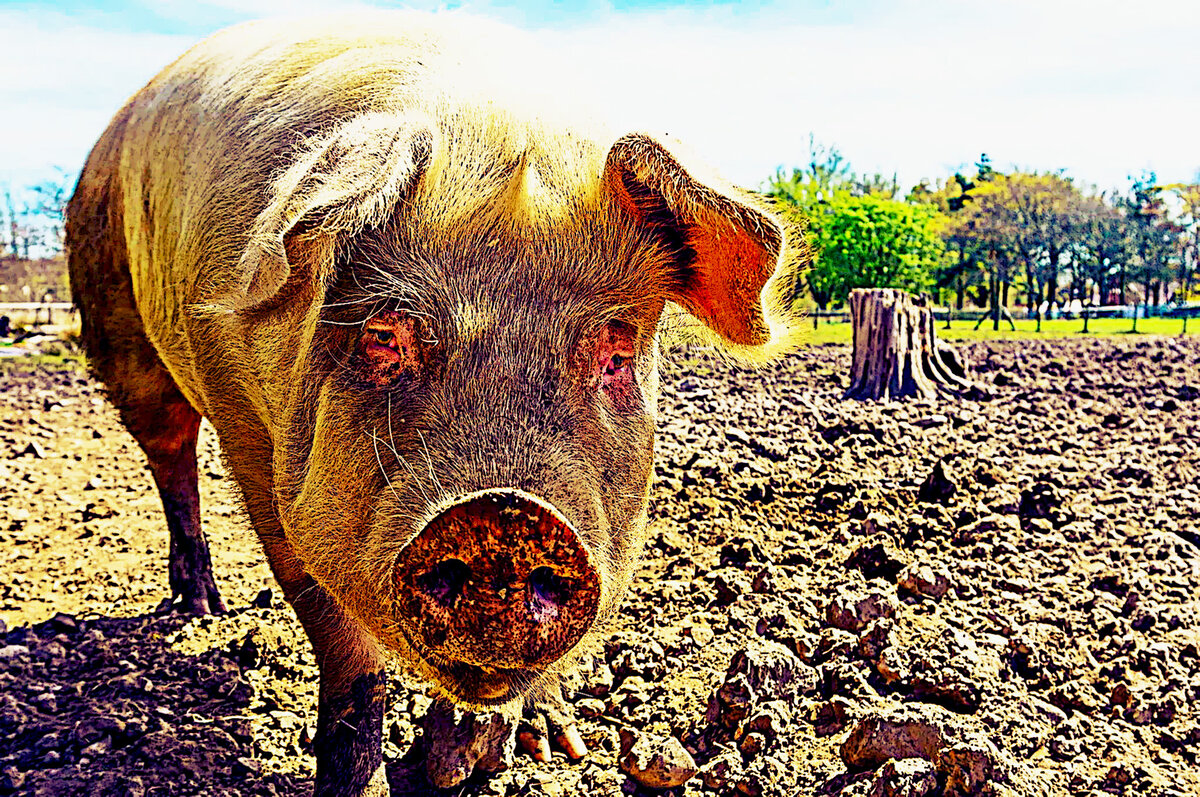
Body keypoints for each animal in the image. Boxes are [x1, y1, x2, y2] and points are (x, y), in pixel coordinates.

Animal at [70, 12, 806, 797]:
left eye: (616, 353)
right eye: (384, 334)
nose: (506, 515)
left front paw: (518, 755)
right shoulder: (244, 426)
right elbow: (341, 641)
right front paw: (360, 783)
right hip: (115, 317)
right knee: (169, 456)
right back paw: (200, 607)